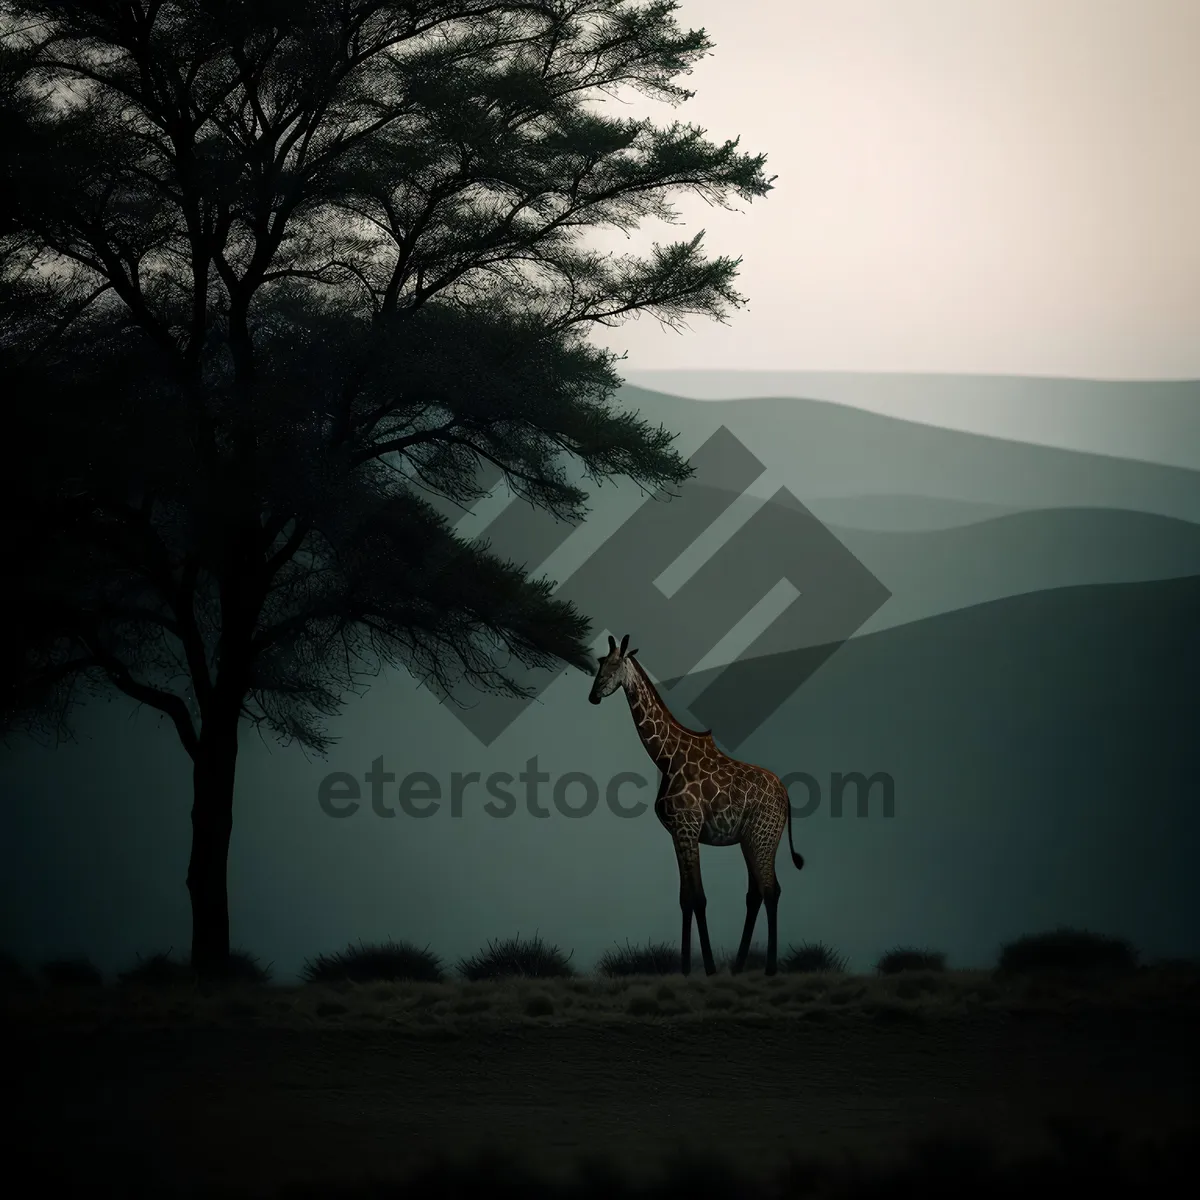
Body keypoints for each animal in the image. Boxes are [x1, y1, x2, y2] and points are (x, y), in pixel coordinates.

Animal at [585, 633, 801, 969]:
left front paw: (708, 968)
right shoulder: (677, 831)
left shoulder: (688, 827)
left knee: (771, 889)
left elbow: (699, 897)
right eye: (599, 662)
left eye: (615, 663)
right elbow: (685, 898)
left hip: (764, 836)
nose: (594, 696)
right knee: (755, 893)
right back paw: (738, 966)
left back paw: (768, 968)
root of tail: (786, 796)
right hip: (749, 839)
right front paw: (687, 968)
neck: (665, 758)